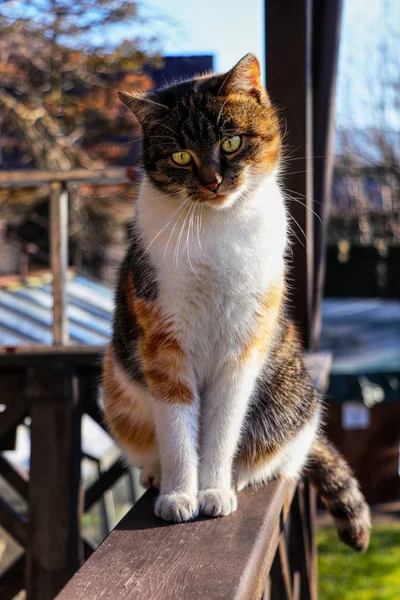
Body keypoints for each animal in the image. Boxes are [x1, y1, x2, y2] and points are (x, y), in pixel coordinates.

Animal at [101, 54, 370, 552]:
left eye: (231, 142)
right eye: (181, 156)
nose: (212, 181)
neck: (216, 229)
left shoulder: (242, 346)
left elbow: (222, 427)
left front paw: (213, 490)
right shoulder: (163, 342)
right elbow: (177, 428)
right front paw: (179, 494)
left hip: (295, 406)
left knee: (285, 455)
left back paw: (240, 477)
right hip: (115, 387)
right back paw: (156, 475)